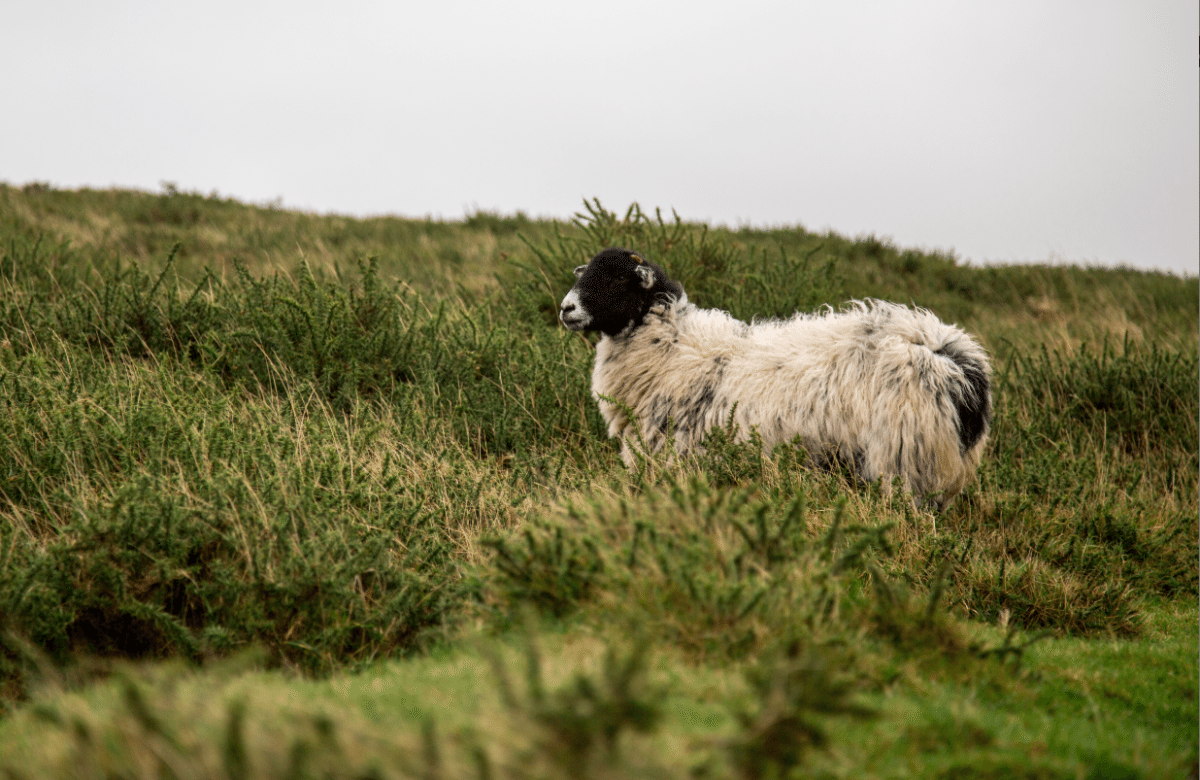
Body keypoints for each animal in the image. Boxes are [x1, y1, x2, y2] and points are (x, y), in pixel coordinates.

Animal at [561, 247, 993, 504]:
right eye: (585, 273)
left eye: (619, 278)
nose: (566, 308)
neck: (672, 347)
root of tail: (957, 361)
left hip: (908, 455)